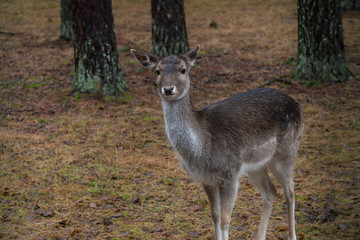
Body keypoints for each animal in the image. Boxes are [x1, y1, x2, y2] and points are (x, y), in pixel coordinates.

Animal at [130, 45, 304, 240]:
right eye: (158, 71)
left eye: (183, 69)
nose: (168, 89)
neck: (203, 148)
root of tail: (297, 104)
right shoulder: (206, 179)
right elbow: (215, 216)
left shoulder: (230, 174)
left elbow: (225, 219)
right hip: (256, 166)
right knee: (271, 192)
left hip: (287, 152)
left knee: (290, 191)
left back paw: (292, 235)